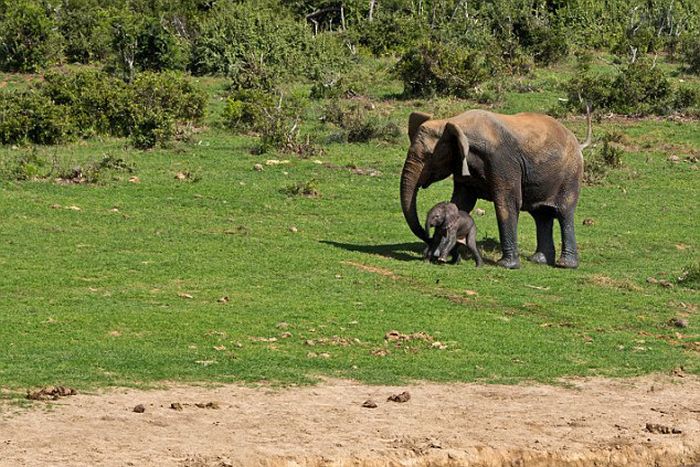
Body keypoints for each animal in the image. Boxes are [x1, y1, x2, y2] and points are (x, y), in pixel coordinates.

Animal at [400, 109, 592, 268]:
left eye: (429, 157)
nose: (428, 241)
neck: (455, 122)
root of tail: (578, 142)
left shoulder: (502, 162)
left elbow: (507, 204)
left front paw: (506, 265)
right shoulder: (463, 164)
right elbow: (461, 202)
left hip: (571, 174)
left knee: (564, 212)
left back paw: (565, 265)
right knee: (541, 215)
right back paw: (539, 261)